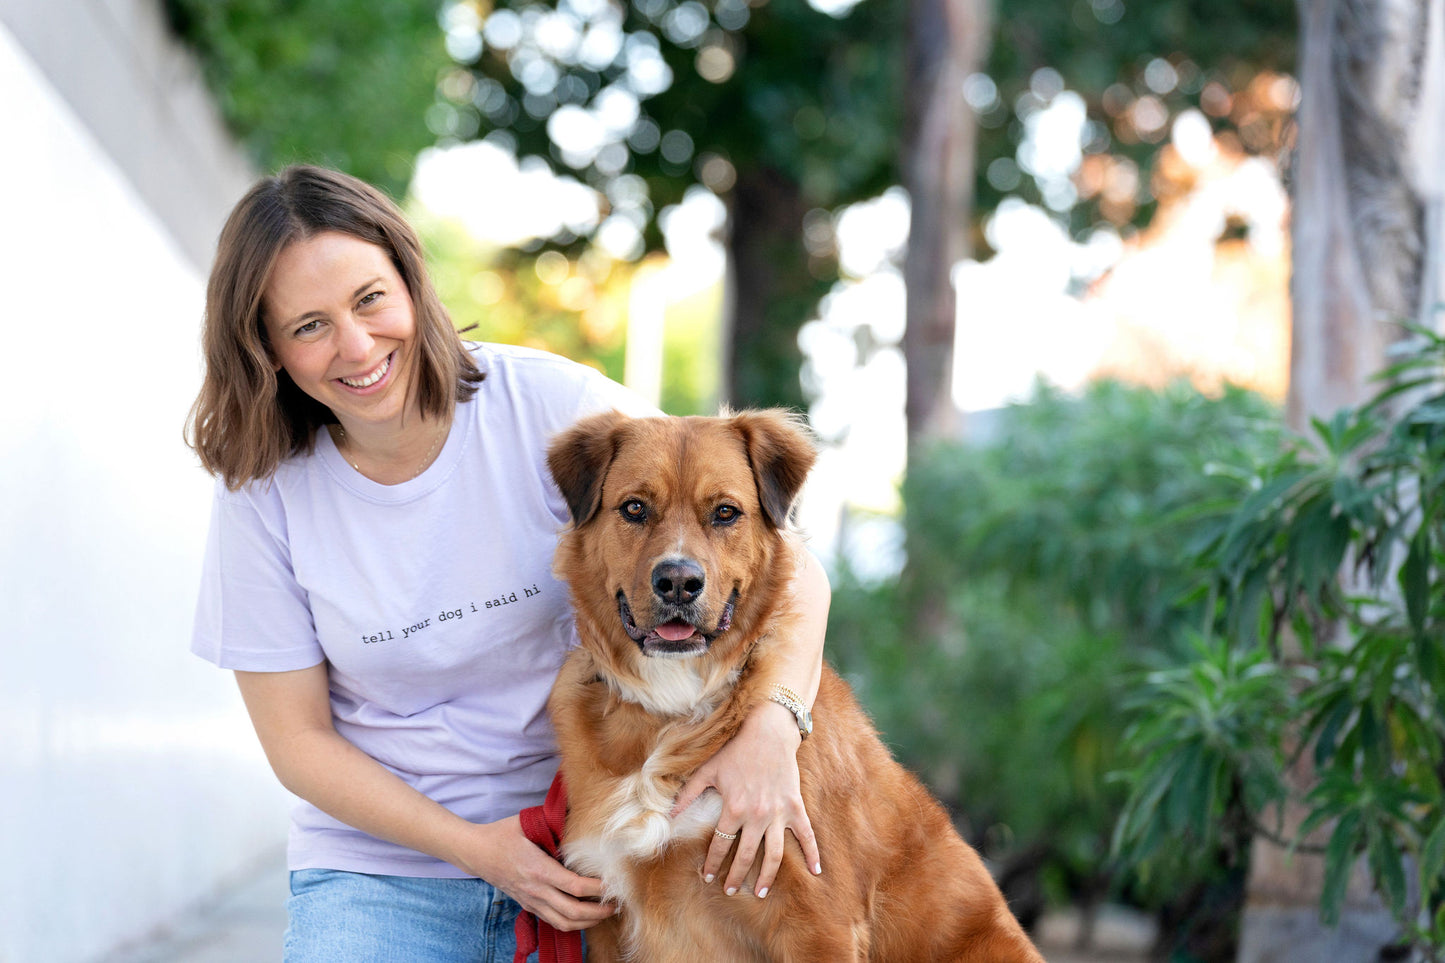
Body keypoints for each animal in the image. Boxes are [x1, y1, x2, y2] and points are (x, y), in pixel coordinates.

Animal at [546, 410, 1046, 960]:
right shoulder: (605, 920)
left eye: (725, 512)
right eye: (634, 508)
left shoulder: (816, 918)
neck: (678, 704)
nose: (678, 582)